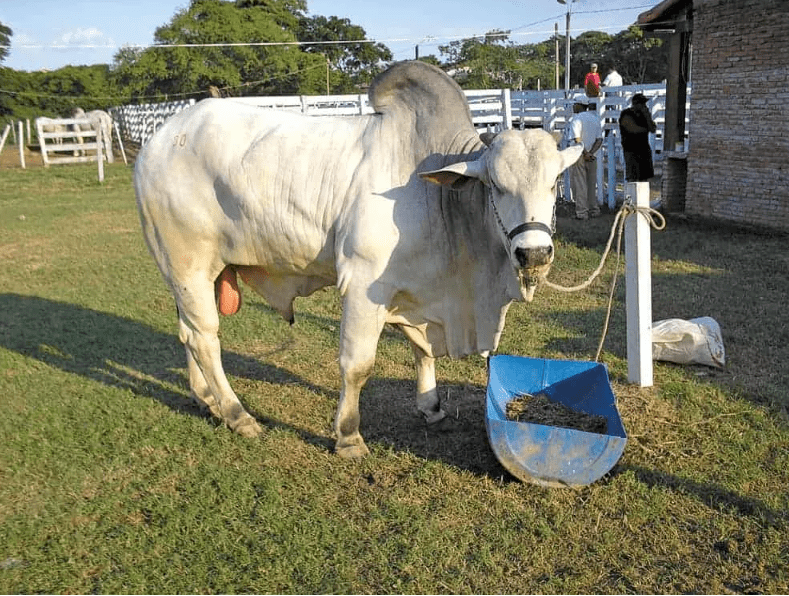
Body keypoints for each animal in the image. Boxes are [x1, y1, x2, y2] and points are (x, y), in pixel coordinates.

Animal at [134, 61, 582, 458]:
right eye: (496, 185)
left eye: (555, 182)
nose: (534, 252)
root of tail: (157, 141)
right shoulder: (364, 285)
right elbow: (357, 365)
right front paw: (348, 436)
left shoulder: (419, 292)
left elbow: (422, 351)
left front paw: (432, 408)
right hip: (187, 264)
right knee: (204, 338)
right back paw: (237, 414)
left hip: (197, 275)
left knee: (186, 332)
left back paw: (205, 398)